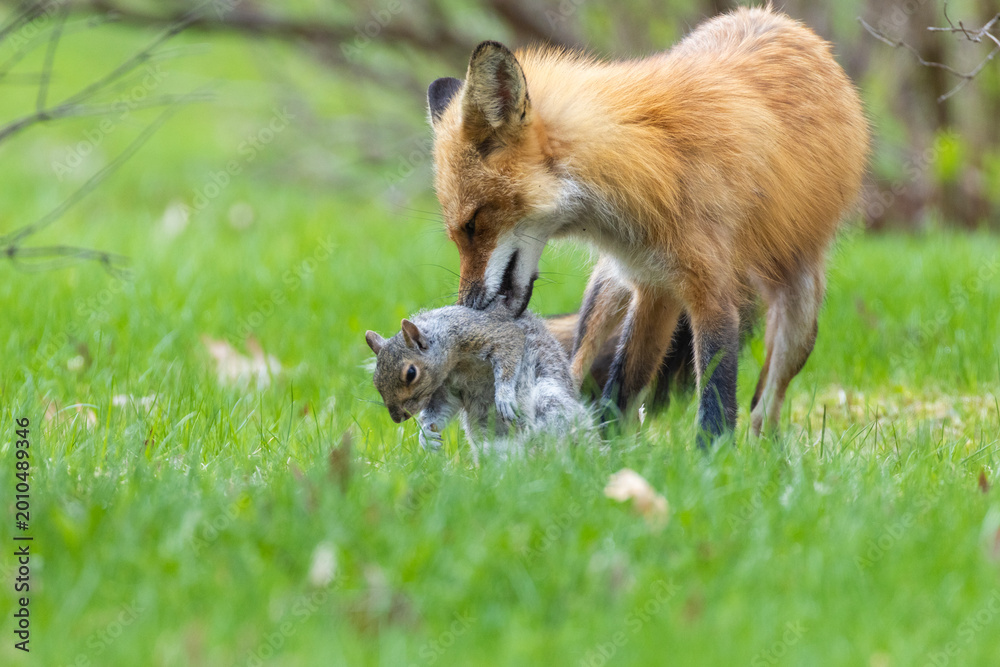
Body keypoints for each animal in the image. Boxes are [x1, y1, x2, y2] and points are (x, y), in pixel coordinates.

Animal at [365, 304, 592, 455]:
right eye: (375, 381)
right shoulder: (445, 388)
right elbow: (441, 408)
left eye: (411, 373)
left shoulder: (491, 334)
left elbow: (509, 355)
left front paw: (504, 397)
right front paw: (426, 437)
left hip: (550, 403)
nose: (397, 418)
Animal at [425, 5, 868, 445]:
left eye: (472, 224)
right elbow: (617, 393)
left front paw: (713, 462)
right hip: (606, 292)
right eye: (456, 231)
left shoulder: (712, 297)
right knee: (573, 363)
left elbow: (715, 404)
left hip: (800, 316)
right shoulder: (653, 288)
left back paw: (765, 451)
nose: (466, 305)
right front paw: (603, 456)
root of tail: (784, 21)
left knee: (766, 407)